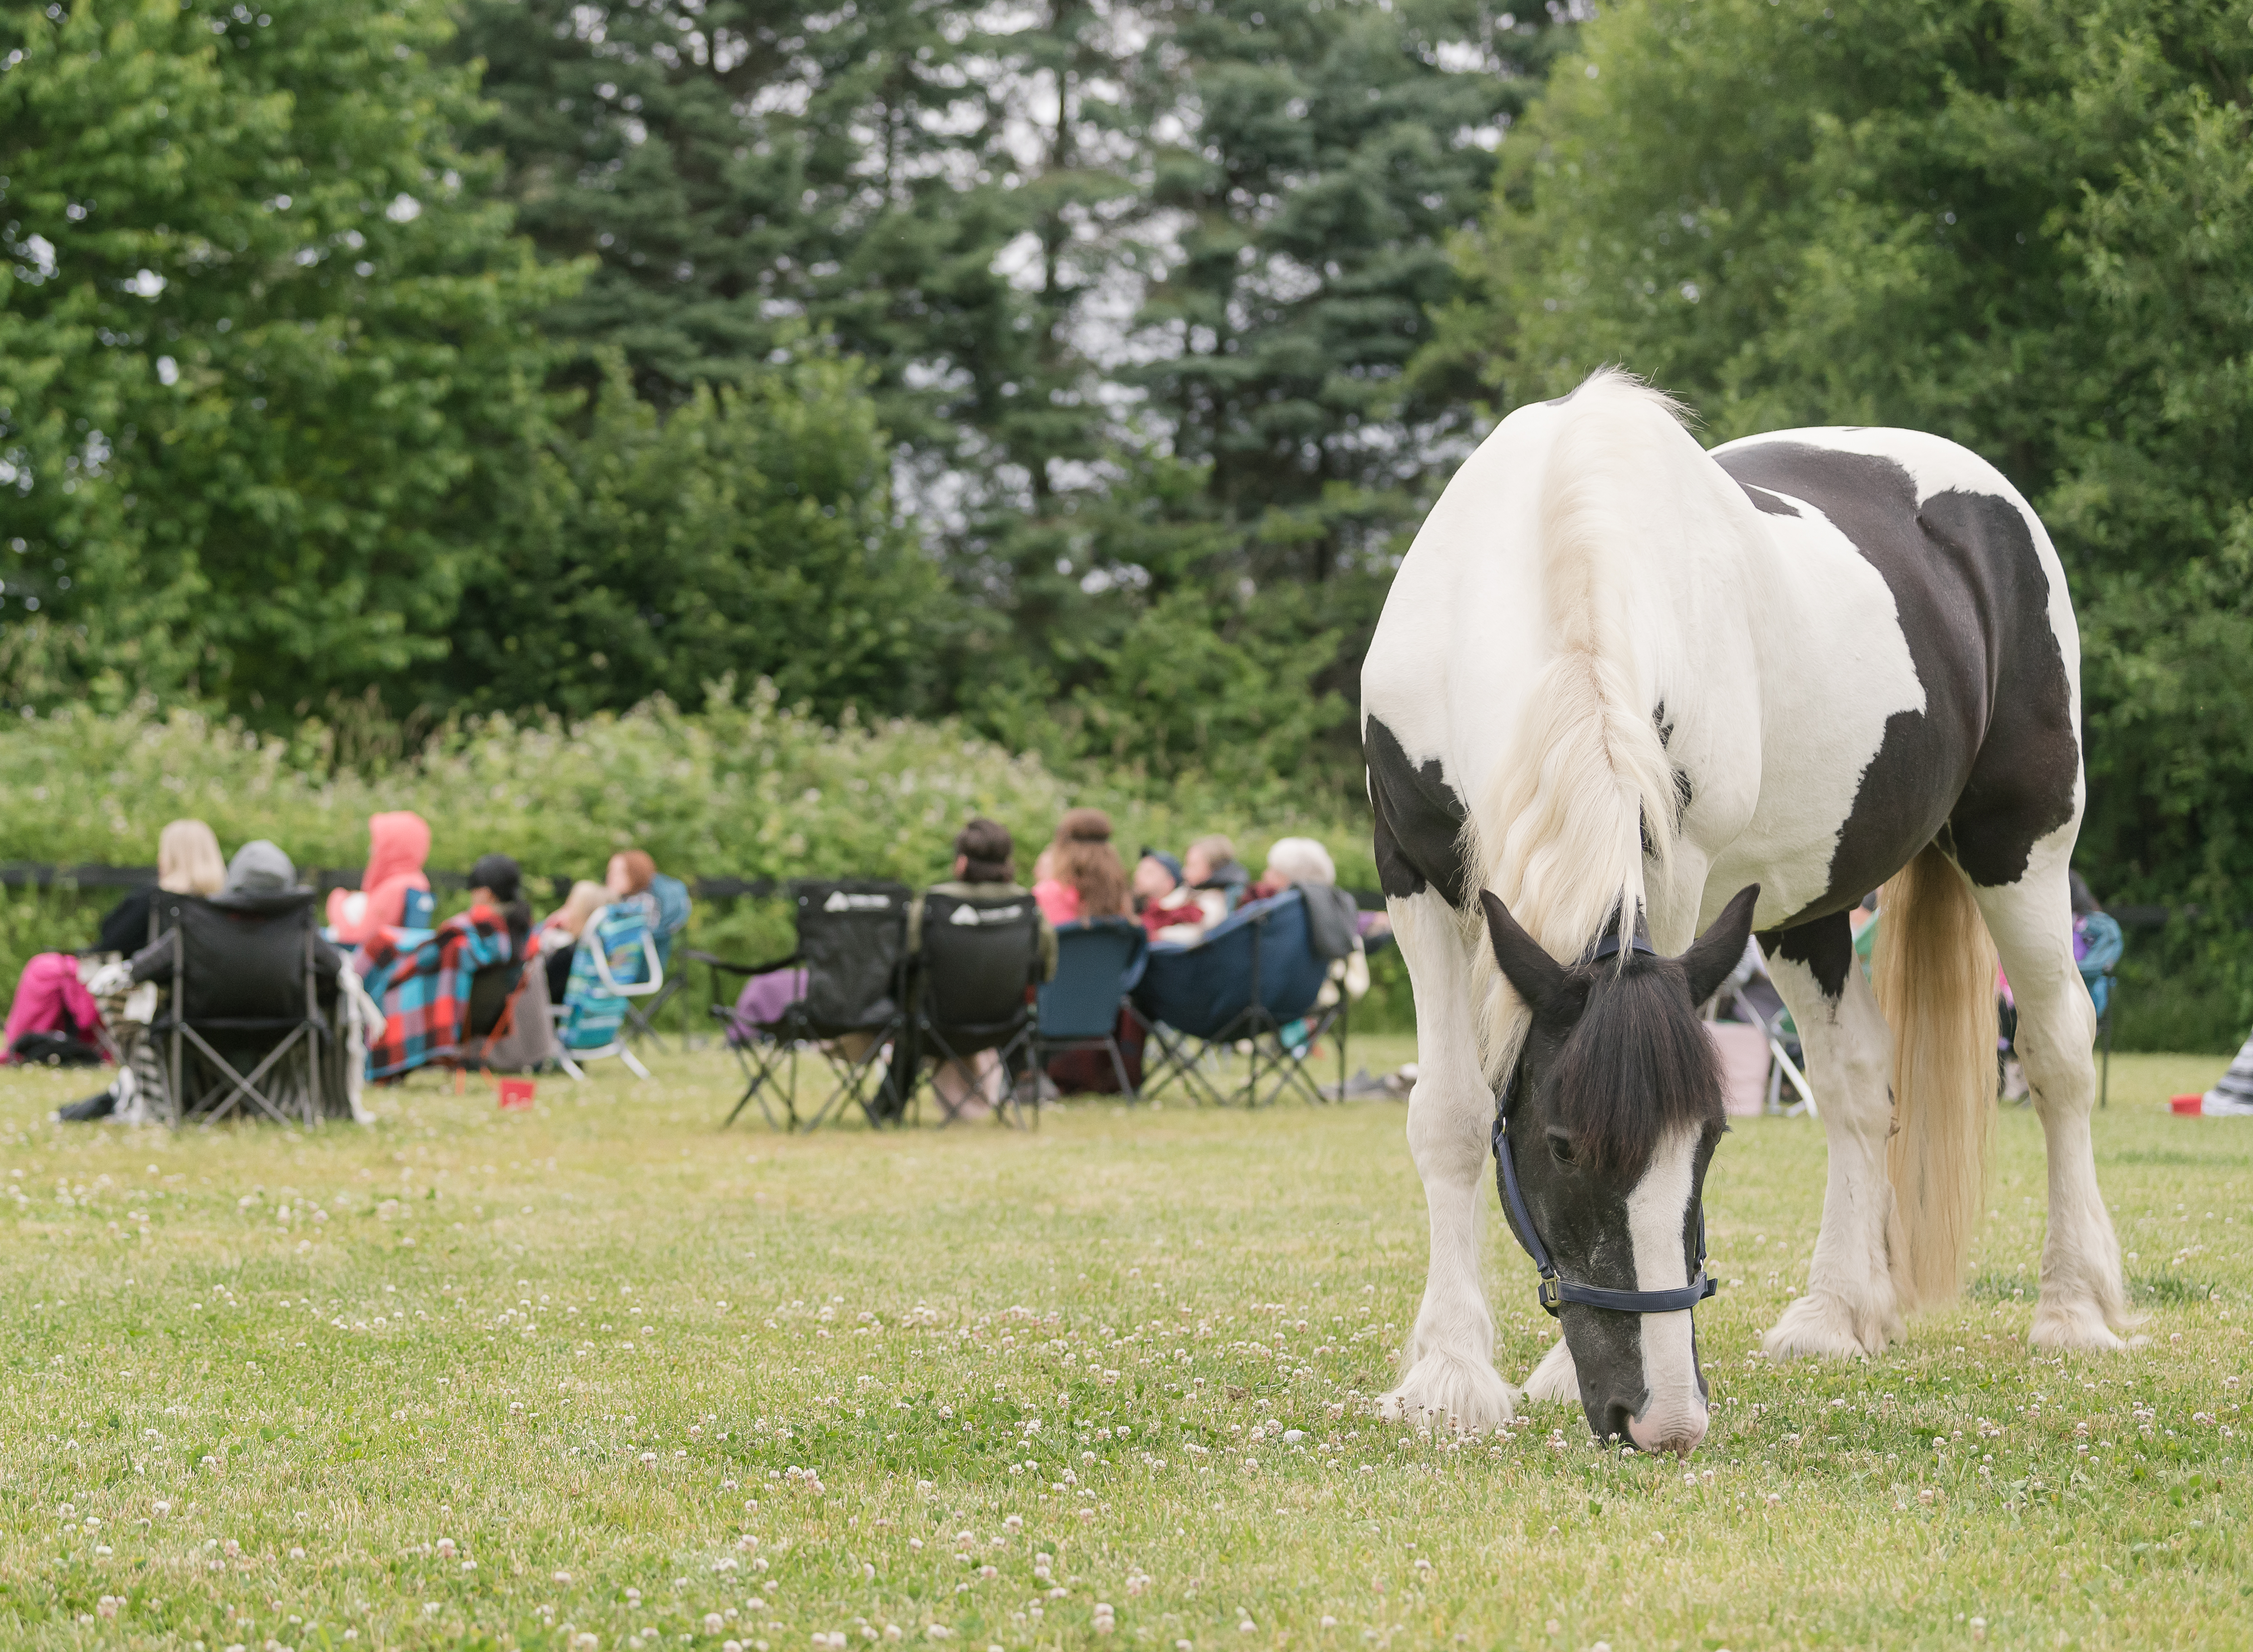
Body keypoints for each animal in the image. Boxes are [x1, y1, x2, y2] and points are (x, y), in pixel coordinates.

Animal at [1361, 370, 2137, 1453]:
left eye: (1712, 1141)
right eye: (1560, 1143)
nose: (1662, 1419)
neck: (1552, 562)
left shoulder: (1676, 872)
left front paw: (1538, 1372)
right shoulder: (1413, 873)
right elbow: (1450, 1114)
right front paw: (1447, 1372)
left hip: (2021, 846)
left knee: (2058, 1050)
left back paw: (2072, 1307)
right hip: (1802, 907)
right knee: (1855, 1081)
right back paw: (1837, 1312)